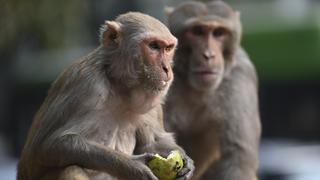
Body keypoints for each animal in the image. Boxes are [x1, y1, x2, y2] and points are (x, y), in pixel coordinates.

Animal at [17, 11, 194, 180]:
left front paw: (186, 161)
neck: (118, 84)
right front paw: (135, 166)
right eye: (154, 46)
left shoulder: (152, 102)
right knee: (71, 169)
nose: (166, 69)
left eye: (168, 48)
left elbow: (153, 143)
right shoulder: (87, 85)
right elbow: (48, 146)